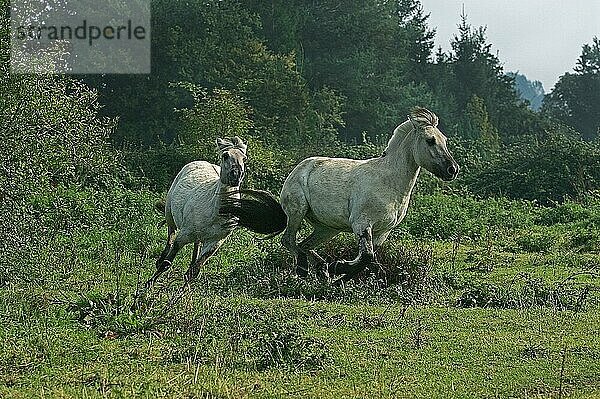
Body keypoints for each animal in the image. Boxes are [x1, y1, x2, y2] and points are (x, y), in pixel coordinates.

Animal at [145, 136, 248, 290]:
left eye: (244, 158)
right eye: (225, 155)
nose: (236, 176)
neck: (215, 212)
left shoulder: (214, 243)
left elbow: (194, 271)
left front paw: (183, 292)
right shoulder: (183, 235)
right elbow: (167, 263)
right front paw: (146, 287)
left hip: (199, 237)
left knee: (195, 250)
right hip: (170, 216)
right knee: (170, 237)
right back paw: (159, 259)